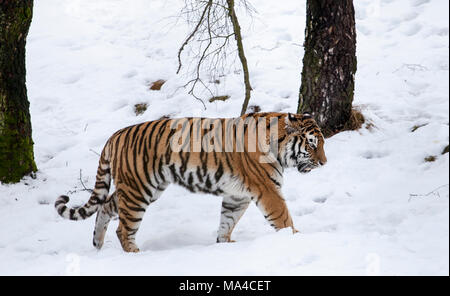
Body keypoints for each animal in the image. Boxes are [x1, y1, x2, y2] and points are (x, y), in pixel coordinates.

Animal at [54, 112, 326, 251]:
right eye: (313, 145)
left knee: (105, 206)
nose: (324, 163)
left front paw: (224, 244)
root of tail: (115, 135)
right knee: (123, 228)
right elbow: (283, 218)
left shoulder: (237, 195)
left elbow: (227, 221)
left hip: (142, 188)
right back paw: (135, 254)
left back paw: (98, 243)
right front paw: (297, 240)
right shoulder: (268, 190)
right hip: (138, 191)